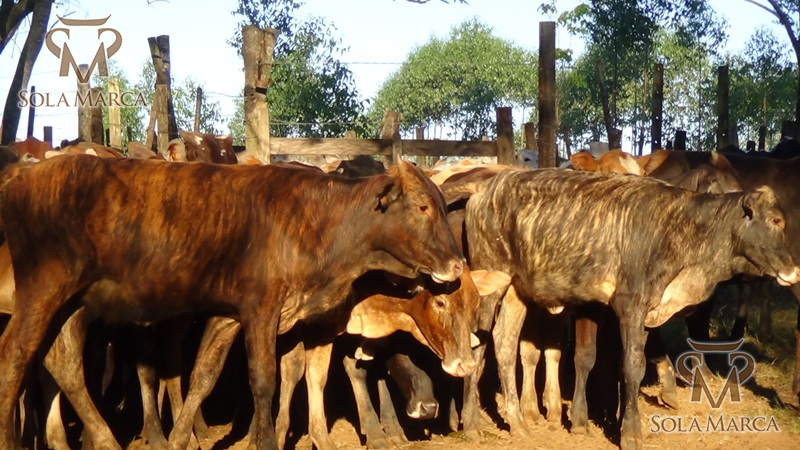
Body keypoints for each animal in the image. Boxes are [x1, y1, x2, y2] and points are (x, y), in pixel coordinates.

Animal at [0, 155, 465, 450]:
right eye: (422, 207)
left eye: (443, 207)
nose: (457, 264)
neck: (316, 220)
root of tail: (24, 176)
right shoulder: (260, 309)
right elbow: (262, 380)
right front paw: (263, 441)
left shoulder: (230, 316)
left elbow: (204, 376)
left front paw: (178, 440)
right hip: (44, 290)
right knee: (16, 356)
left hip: (75, 304)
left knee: (62, 364)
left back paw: (106, 440)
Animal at [464, 168, 800, 450]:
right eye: (775, 220)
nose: (794, 270)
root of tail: (484, 190)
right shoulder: (630, 306)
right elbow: (632, 367)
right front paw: (630, 432)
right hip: (489, 281)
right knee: (478, 345)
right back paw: (471, 423)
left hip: (516, 290)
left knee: (505, 344)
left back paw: (518, 422)